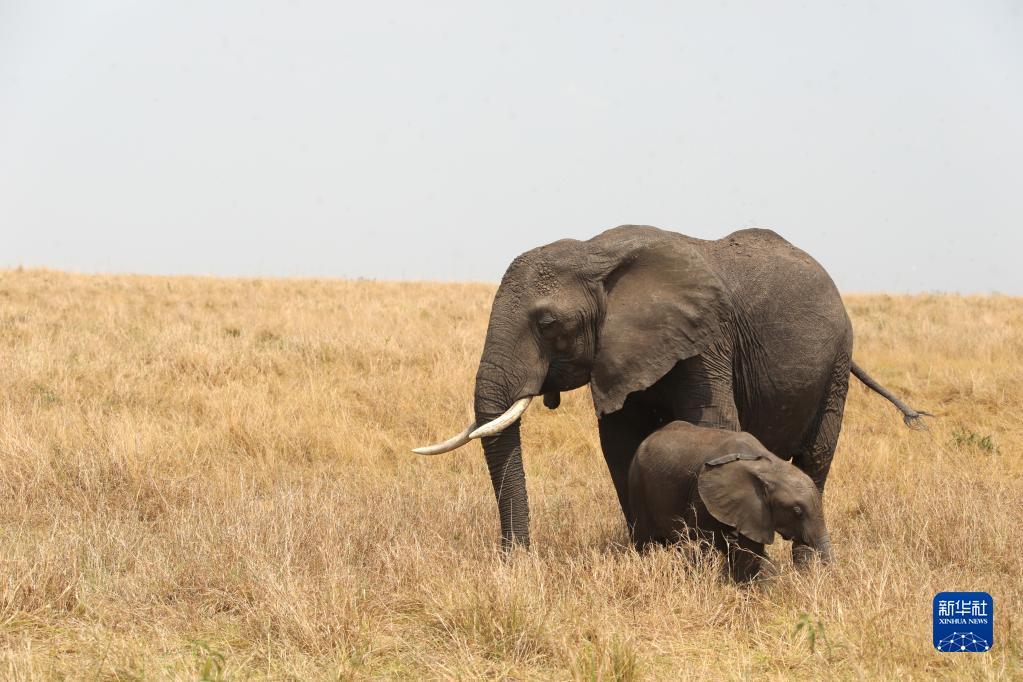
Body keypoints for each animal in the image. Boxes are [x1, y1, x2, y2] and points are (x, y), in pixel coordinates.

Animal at [413, 224, 928, 560]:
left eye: (546, 324)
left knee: (817, 457)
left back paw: (809, 569)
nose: (516, 561)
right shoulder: (621, 354)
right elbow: (619, 444)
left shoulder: (707, 339)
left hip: (837, 360)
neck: (596, 256)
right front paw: (649, 556)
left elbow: (709, 425)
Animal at [626, 421, 834, 580]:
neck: (769, 466)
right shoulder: (702, 497)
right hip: (637, 483)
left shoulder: (754, 510)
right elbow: (704, 542)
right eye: (797, 511)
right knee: (644, 541)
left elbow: (750, 549)